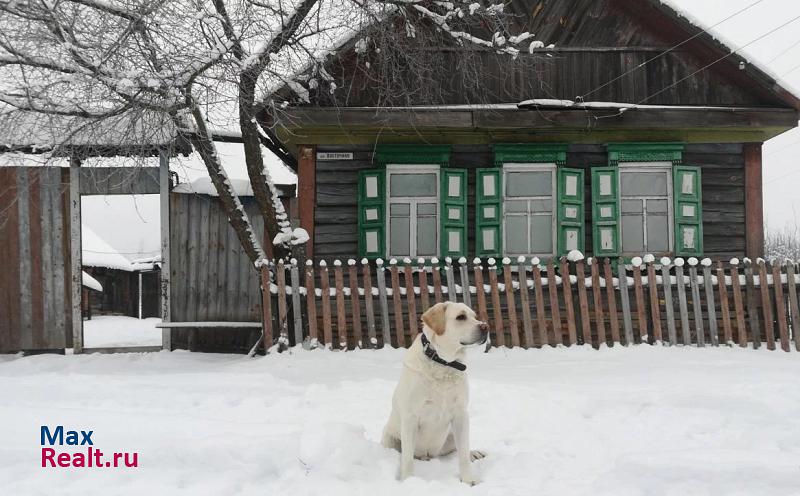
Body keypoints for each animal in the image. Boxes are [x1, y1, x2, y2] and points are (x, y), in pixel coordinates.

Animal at [380, 302, 488, 484]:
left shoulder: (461, 415)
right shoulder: (410, 418)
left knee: (460, 450)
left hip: (450, 435)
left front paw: (468, 479)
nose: (485, 327)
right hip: (389, 437)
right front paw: (408, 481)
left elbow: (463, 455)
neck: (443, 362)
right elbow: (407, 459)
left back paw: (474, 453)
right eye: (461, 317)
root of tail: (428, 455)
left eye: (475, 316)